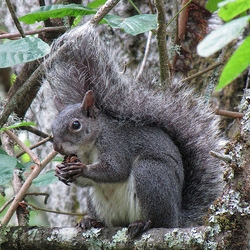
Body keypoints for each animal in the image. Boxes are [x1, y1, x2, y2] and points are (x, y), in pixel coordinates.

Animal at [44, 23, 224, 236]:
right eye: (52, 126)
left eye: (76, 125)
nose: (57, 148)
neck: (89, 146)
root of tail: (177, 218)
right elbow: (88, 182)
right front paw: (60, 171)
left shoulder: (116, 144)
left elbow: (116, 170)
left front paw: (81, 169)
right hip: (97, 202)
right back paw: (92, 222)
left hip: (150, 174)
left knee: (158, 219)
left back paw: (143, 224)